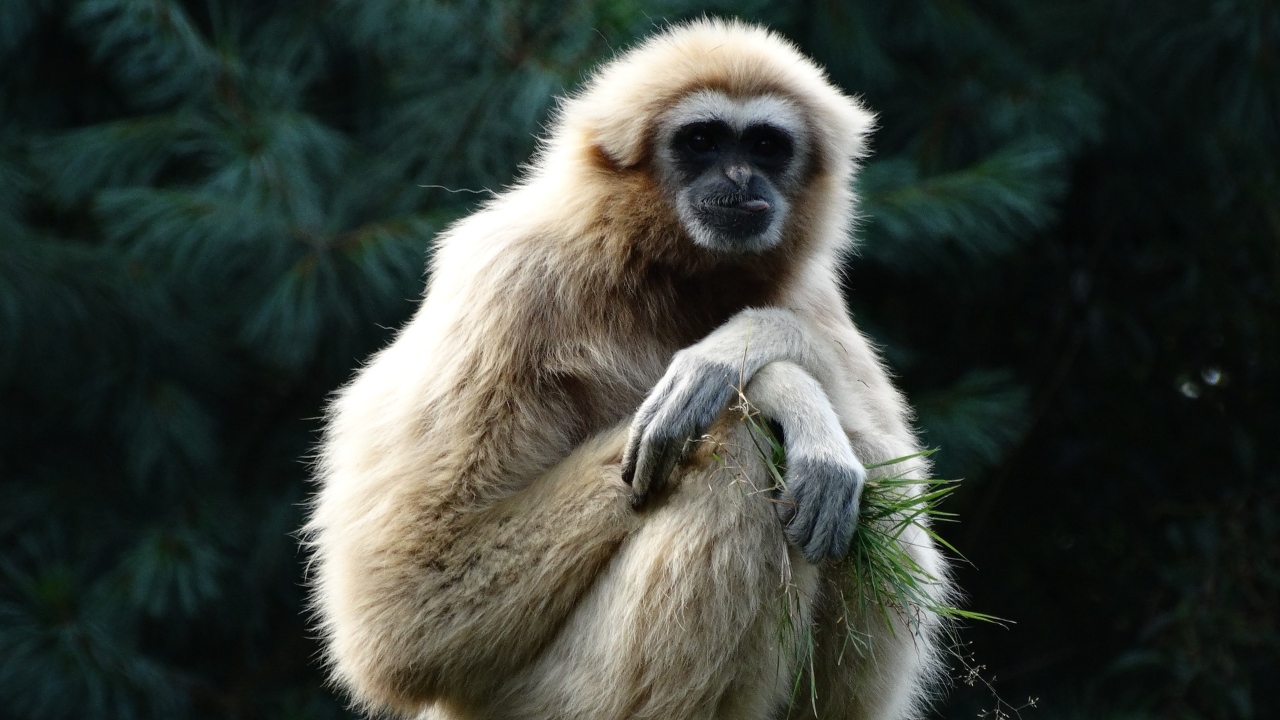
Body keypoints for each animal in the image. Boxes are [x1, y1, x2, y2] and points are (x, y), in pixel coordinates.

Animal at [305, 18, 951, 720]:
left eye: (765, 144)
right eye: (700, 140)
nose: (742, 176)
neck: (657, 273)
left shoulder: (816, 295)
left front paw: (753, 344)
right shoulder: (508, 278)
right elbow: (408, 605)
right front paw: (771, 378)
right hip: (547, 700)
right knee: (738, 443)